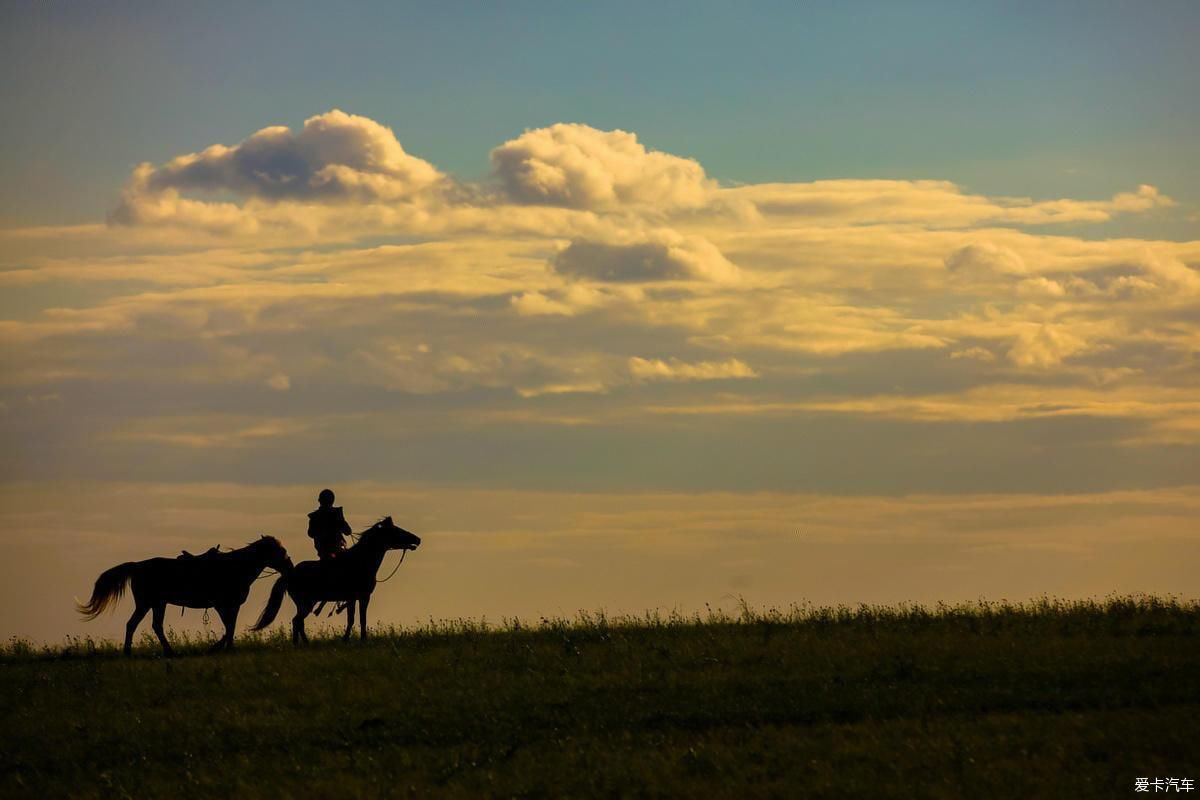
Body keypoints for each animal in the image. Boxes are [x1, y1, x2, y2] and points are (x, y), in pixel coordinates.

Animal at [78, 537, 292, 657]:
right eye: (279, 550)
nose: (290, 566)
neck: (234, 567)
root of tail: (137, 566)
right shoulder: (222, 605)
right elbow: (229, 627)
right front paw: (218, 649)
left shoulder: (232, 606)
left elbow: (230, 628)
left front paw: (225, 648)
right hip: (146, 603)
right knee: (133, 624)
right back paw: (130, 652)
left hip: (158, 604)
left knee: (155, 626)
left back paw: (168, 652)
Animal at [250, 520, 420, 642]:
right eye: (397, 530)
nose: (417, 539)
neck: (361, 561)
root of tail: (289, 574)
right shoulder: (362, 597)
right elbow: (357, 619)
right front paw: (357, 640)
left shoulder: (354, 599)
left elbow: (355, 619)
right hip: (306, 603)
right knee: (297, 621)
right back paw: (302, 644)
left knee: (298, 622)